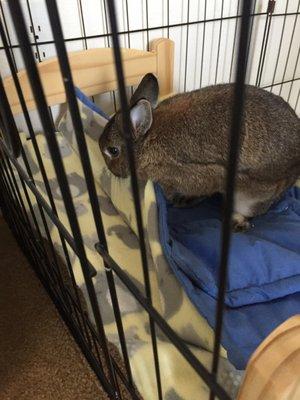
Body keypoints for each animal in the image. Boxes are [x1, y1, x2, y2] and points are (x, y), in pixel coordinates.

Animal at [99, 73, 300, 231]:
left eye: (113, 151)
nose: (111, 171)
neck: (147, 140)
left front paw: (183, 202)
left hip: (251, 198)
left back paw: (237, 222)